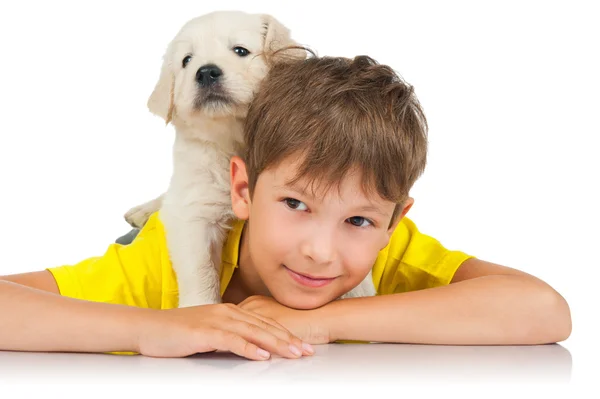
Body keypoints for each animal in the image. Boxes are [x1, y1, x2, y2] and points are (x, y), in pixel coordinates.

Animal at [129, 10, 378, 308]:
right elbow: (199, 270)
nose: (206, 72)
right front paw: (200, 307)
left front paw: (360, 293)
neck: (235, 142)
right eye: (187, 60)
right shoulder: (194, 210)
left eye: (240, 51)